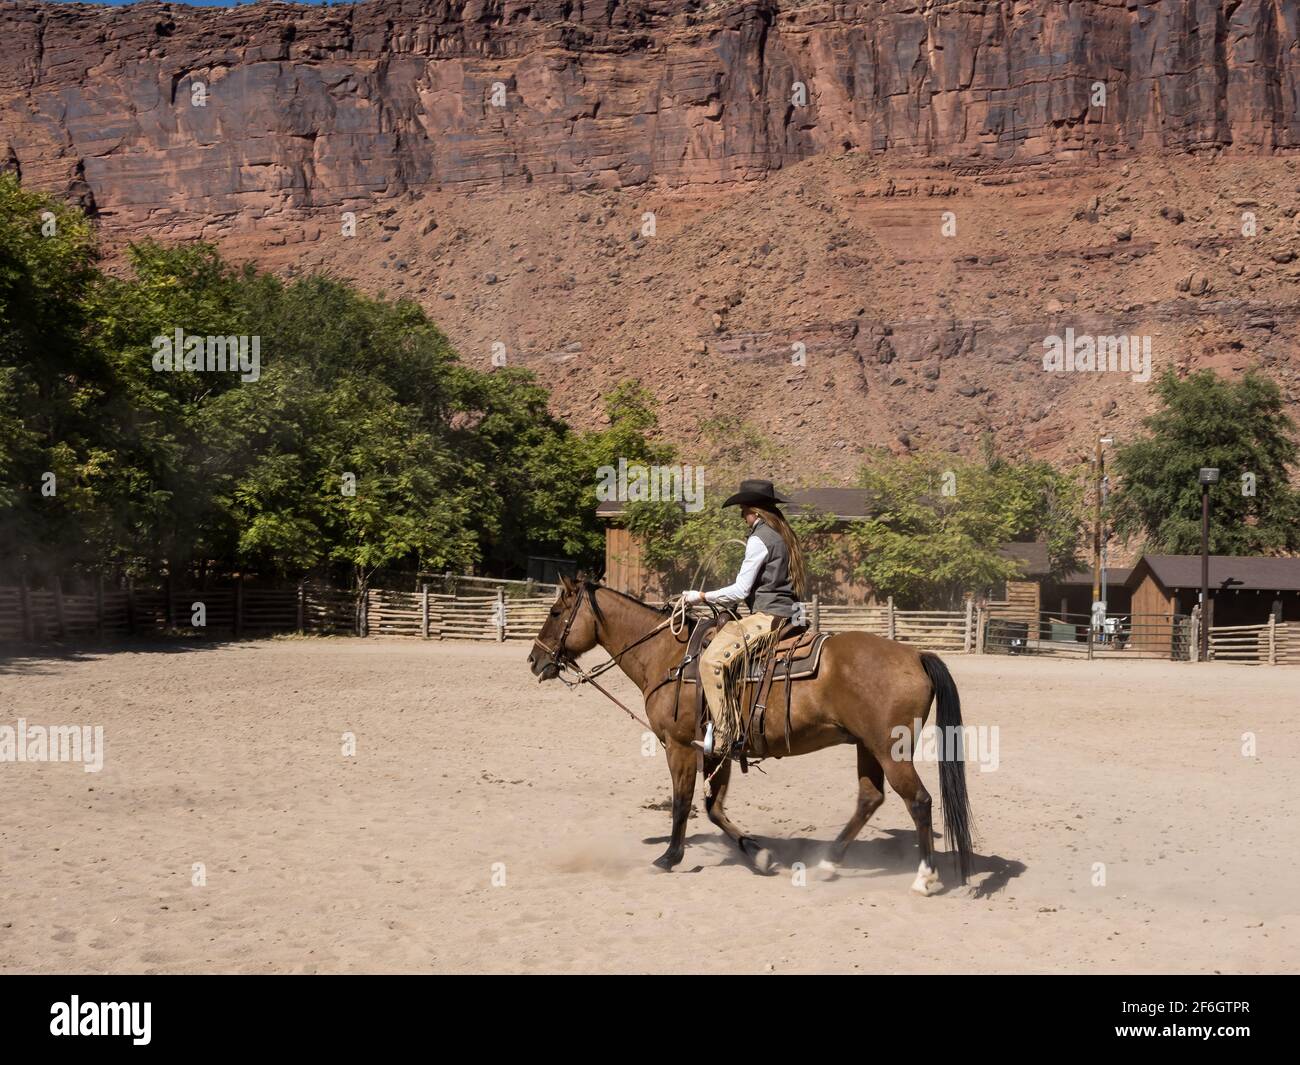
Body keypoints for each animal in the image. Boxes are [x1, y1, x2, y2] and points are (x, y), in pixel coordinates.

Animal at [527, 579, 977, 894]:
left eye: (555, 611)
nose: (534, 661)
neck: (669, 658)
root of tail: (916, 654)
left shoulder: (679, 747)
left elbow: (682, 802)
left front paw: (669, 856)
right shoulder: (716, 749)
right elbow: (713, 807)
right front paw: (760, 856)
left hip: (890, 750)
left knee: (918, 801)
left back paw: (924, 878)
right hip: (867, 748)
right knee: (870, 798)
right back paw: (828, 863)